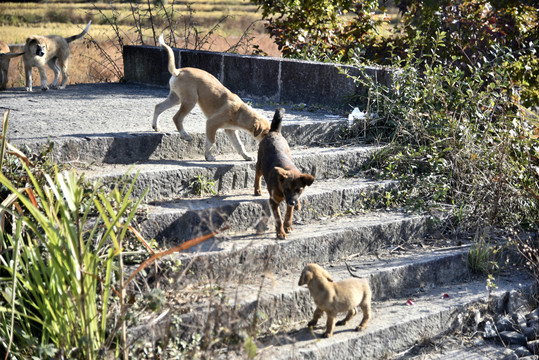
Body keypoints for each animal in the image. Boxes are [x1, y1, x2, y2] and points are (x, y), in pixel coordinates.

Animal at [254, 108, 314, 240]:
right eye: (286, 189)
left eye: (299, 189)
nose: (292, 202)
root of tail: (273, 131)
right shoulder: (273, 201)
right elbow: (278, 218)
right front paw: (281, 232)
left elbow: (289, 213)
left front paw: (288, 225)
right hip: (260, 164)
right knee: (257, 174)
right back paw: (257, 190)